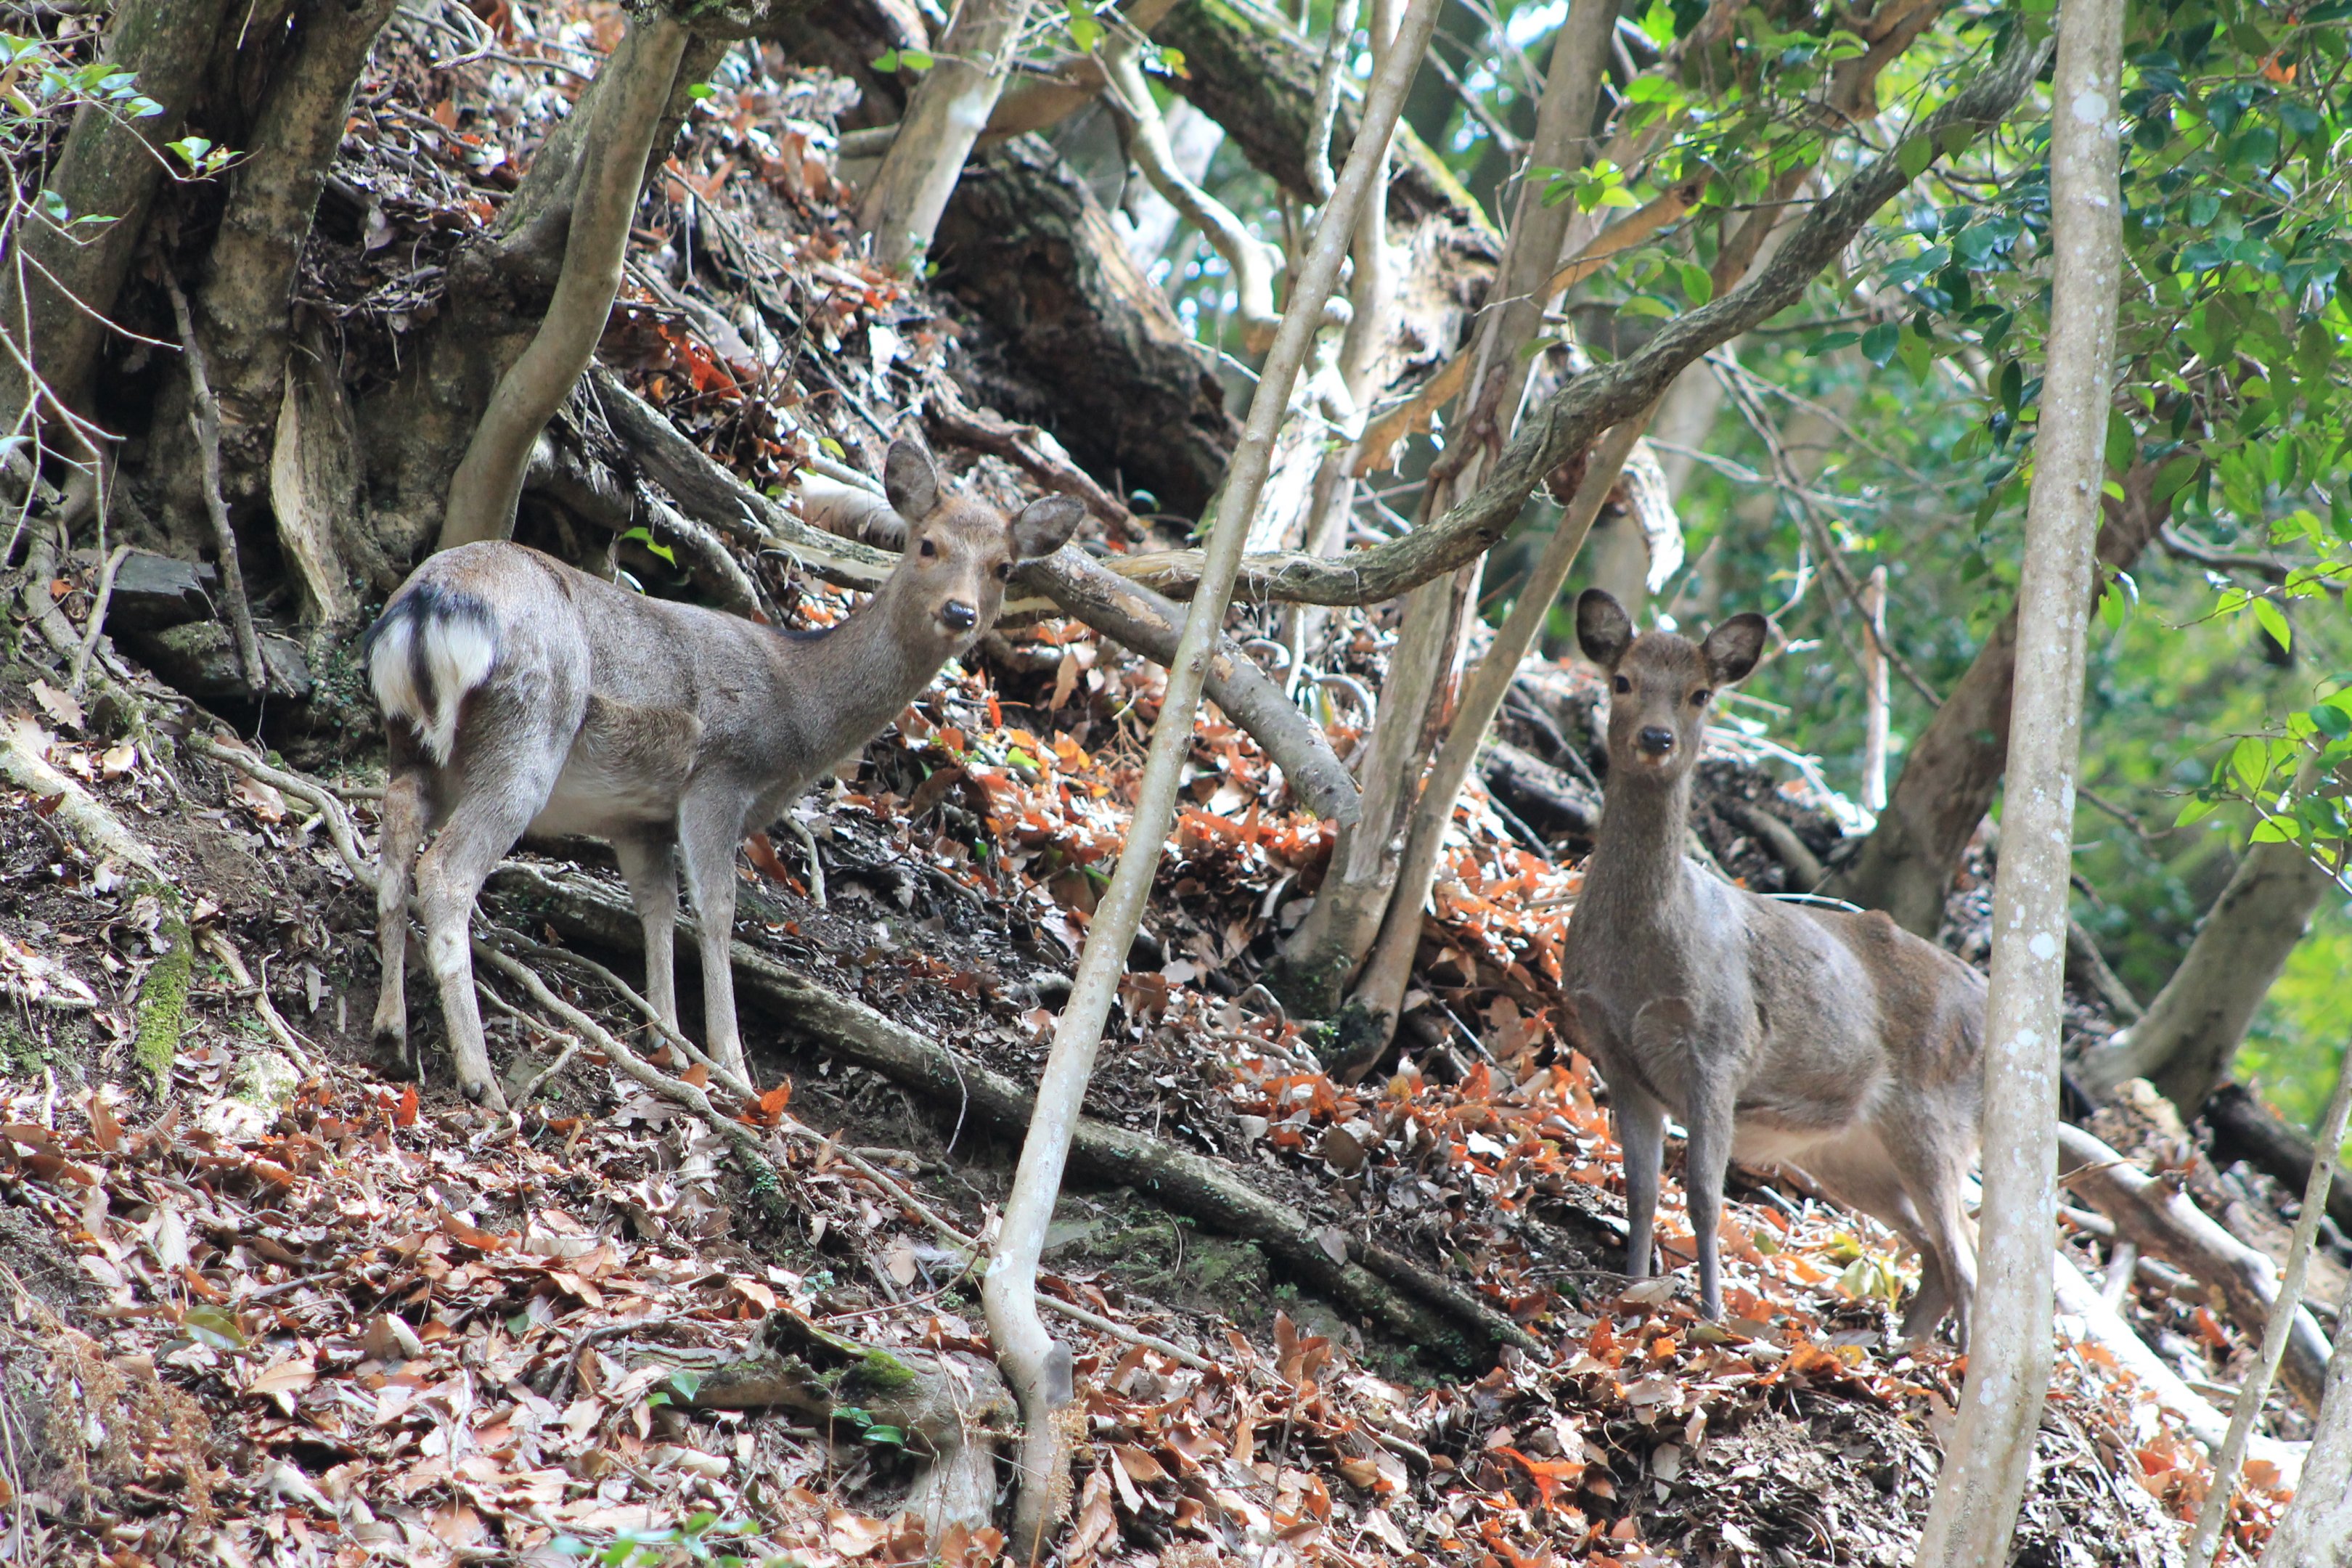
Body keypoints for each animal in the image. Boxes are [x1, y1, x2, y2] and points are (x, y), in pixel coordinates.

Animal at [365, 440, 1082, 1111]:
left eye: (1004, 567)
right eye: (927, 544)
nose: (961, 613)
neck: (799, 708)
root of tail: (427, 607)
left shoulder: (639, 818)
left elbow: (657, 907)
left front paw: (667, 1041)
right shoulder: (721, 777)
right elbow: (715, 912)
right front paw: (731, 1065)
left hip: (415, 743)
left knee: (395, 832)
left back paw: (391, 1032)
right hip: (530, 732)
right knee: (447, 871)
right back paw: (479, 1075)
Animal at [1560, 589, 1985, 1344]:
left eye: (1700, 694)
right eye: (1623, 680)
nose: (1657, 739)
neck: (1638, 959)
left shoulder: (1718, 1045)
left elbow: (1703, 1194)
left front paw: (1709, 1315)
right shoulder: (1615, 1053)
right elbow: (1640, 1188)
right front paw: (1632, 1292)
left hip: (1936, 1119)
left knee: (1964, 1258)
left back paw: (1949, 1370)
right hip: (1845, 1152)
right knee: (1933, 1251)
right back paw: (1903, 1352)